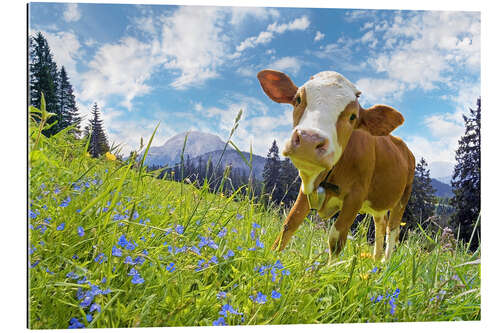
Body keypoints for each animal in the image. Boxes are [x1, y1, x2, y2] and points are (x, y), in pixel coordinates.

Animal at [256, 70, 416, 260]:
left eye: (353, 116)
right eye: (298, 99)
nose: (309, 140)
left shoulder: (356, 196)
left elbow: (336, 240)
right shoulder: (307, 188)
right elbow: (290, 223)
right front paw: (270, 260)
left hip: (403, 198)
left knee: (392, 231)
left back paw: (384, 263)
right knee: (380, 223)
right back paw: (376, 261)